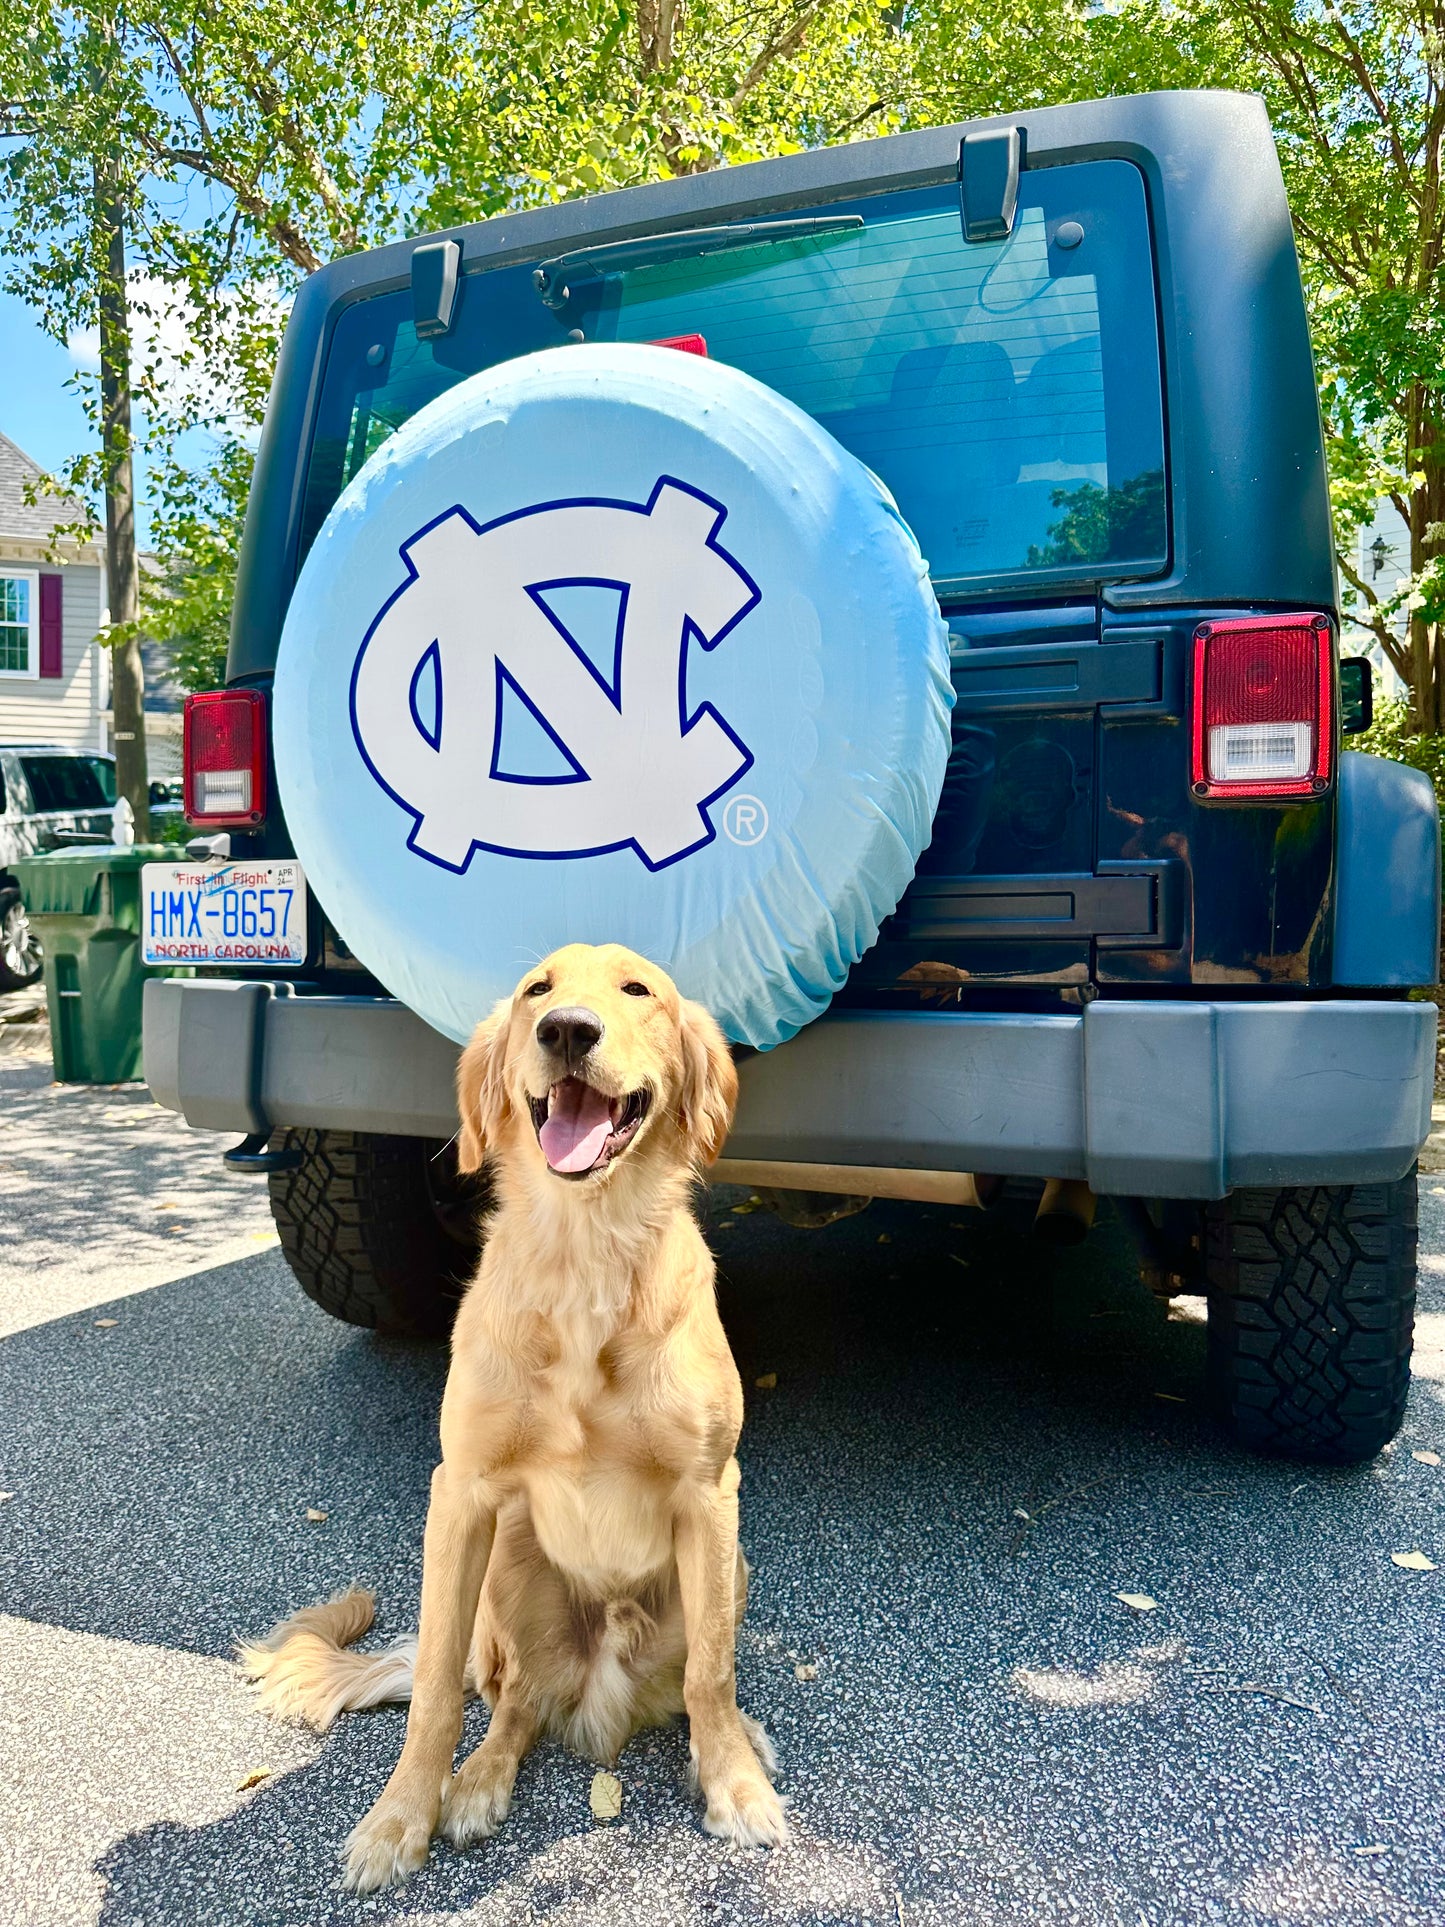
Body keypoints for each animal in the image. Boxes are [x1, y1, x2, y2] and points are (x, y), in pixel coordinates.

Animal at [243, 940, 786, 1888]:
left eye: (637, 989)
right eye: (538, 987)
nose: (566, 1029)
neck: (586, 1252)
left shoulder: (709, 1490)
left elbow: (712, 1674)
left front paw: (734, 1784)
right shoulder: (460, 1494)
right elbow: (431, 1691)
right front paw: (398, 1818)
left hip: (730, 1561)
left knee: (683, 1684)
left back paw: (739, 1741)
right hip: (508, 1576)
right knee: (513, 1703)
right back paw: (476, 1784)